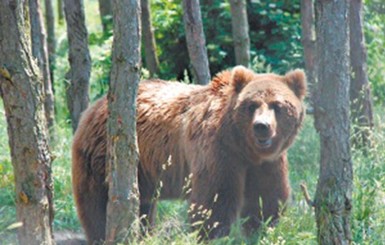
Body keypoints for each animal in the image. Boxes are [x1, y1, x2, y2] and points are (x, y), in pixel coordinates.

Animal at [71, 65, 306, 243]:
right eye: (252, 105)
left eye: (277, 105)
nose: (261, 126)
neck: (243, 146)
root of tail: (95, 106)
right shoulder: (218, 150)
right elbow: (214, 200)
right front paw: (213, 235)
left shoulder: (267, 163)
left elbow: (266, 199)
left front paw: (262, 230)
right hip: (101, 155)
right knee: (97, 203)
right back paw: (102, 235)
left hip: (142, 169)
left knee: (143, 204)